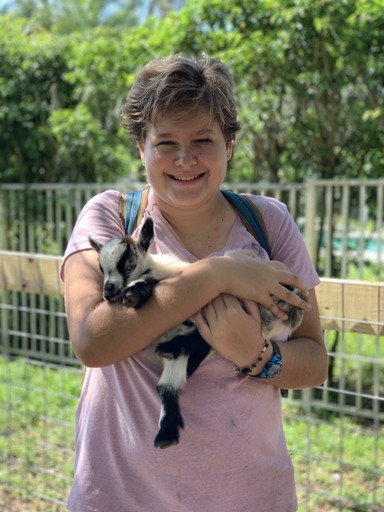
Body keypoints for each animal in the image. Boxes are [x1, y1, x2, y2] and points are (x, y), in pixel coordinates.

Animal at [89, 218, 306, 450]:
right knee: (169, 384)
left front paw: (133, 294)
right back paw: (166, 434)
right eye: (101, 269)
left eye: (129, 265)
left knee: (199, 343)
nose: (108, 290)